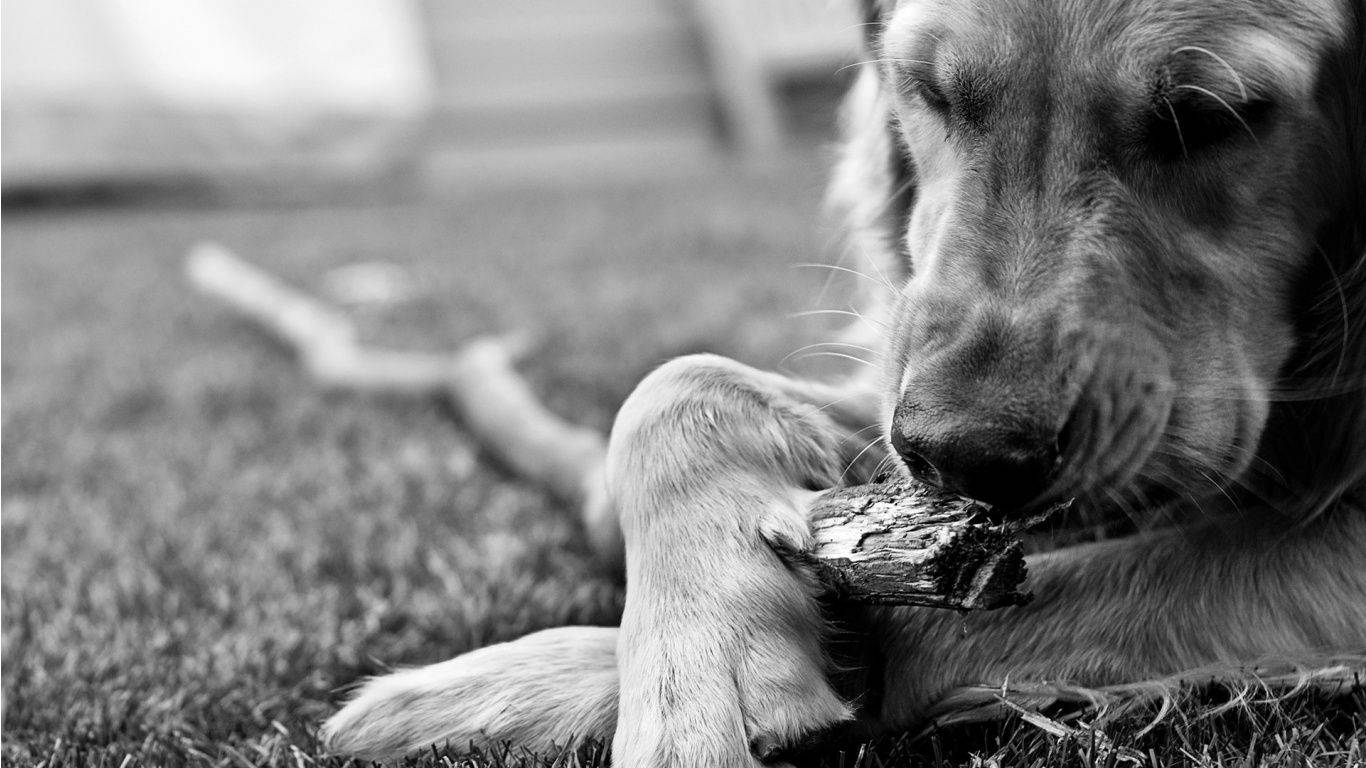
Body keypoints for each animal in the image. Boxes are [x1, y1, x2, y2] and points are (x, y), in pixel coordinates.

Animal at [322, 0, 1366, 759]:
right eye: (929, 90)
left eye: (1213, 115)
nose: (960, 453)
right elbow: (674, 384)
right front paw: (692, 655)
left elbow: (930, 628)